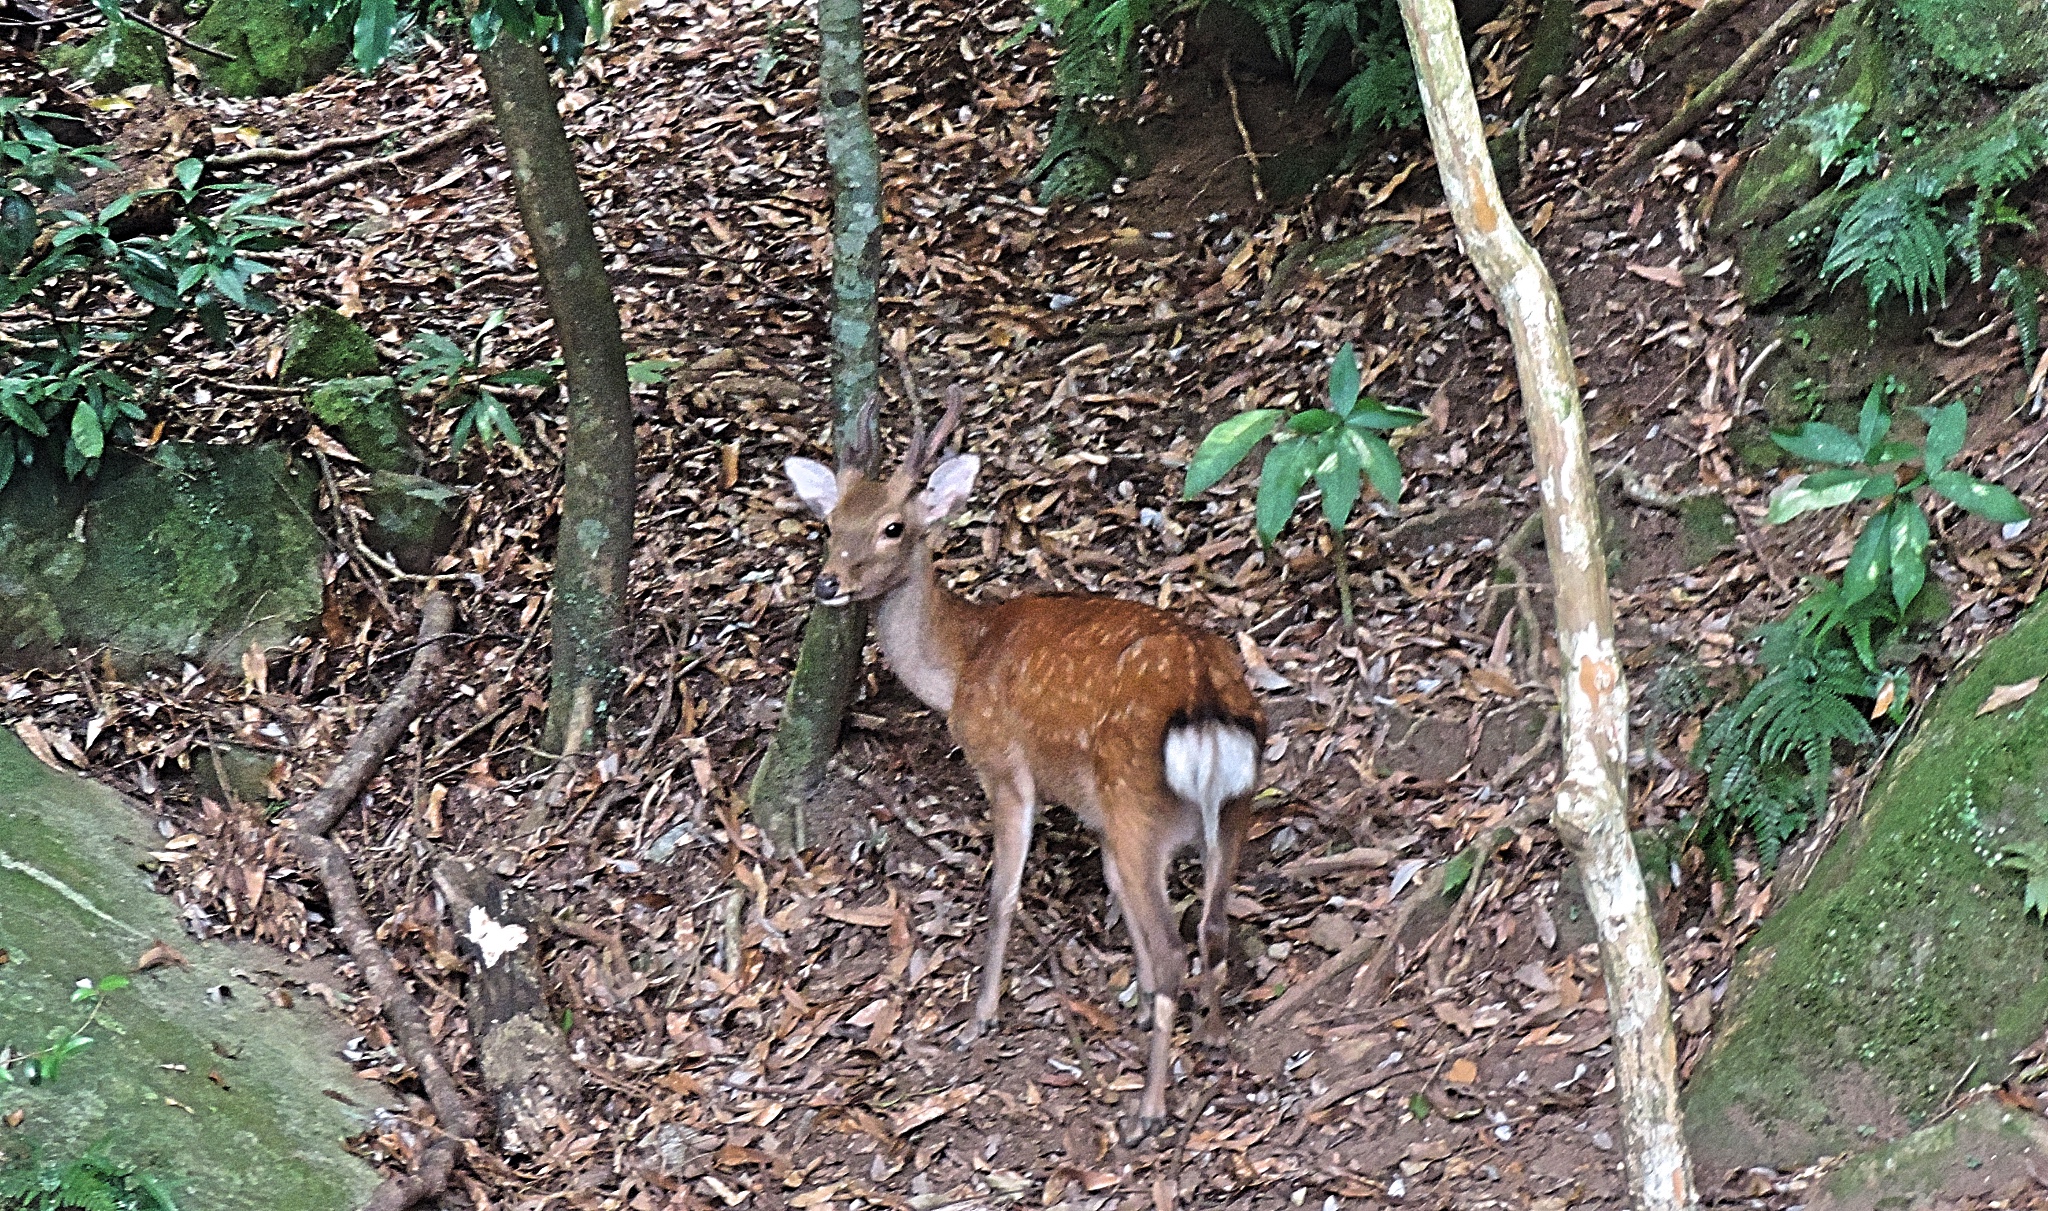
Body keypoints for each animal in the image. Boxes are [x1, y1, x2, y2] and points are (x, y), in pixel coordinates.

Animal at [782, 393, 1261, 1131]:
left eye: (894, 526)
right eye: (830, 523)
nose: (827, 582)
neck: (960, 664)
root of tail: (1206, 699)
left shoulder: (1004, 765)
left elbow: (1003, 892)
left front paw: (980, 1013)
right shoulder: (1098, 817)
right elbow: (1114, 894)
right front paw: (1135, 1002)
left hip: (1139, 805)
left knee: (1177, 945)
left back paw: (1149, 1109)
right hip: (1233, 806)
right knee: (1212, 923)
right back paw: (1208, 1032)